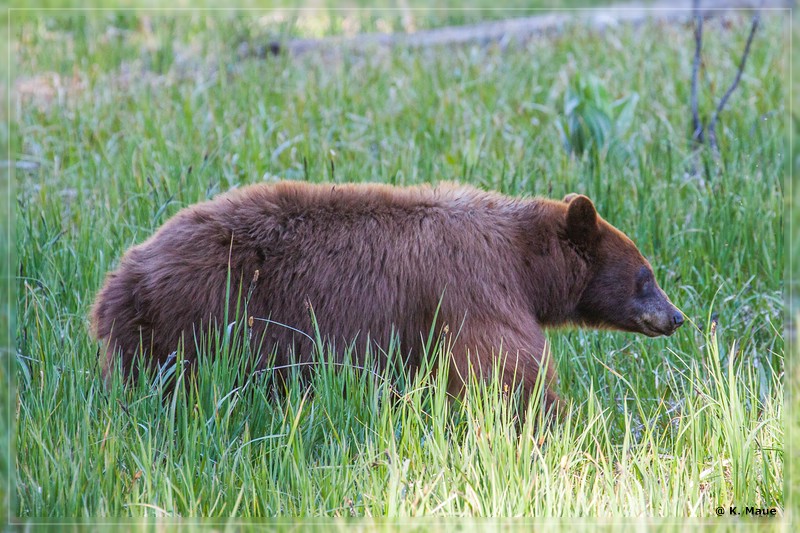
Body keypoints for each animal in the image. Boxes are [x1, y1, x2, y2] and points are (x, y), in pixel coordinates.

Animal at [92, 181, 680, 414]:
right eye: (645, 276)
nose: (676, 316)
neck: (523, 262)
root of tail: (120, 279)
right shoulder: (476, 289)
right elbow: (505, 371)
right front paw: (556, 419)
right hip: (205, 319)